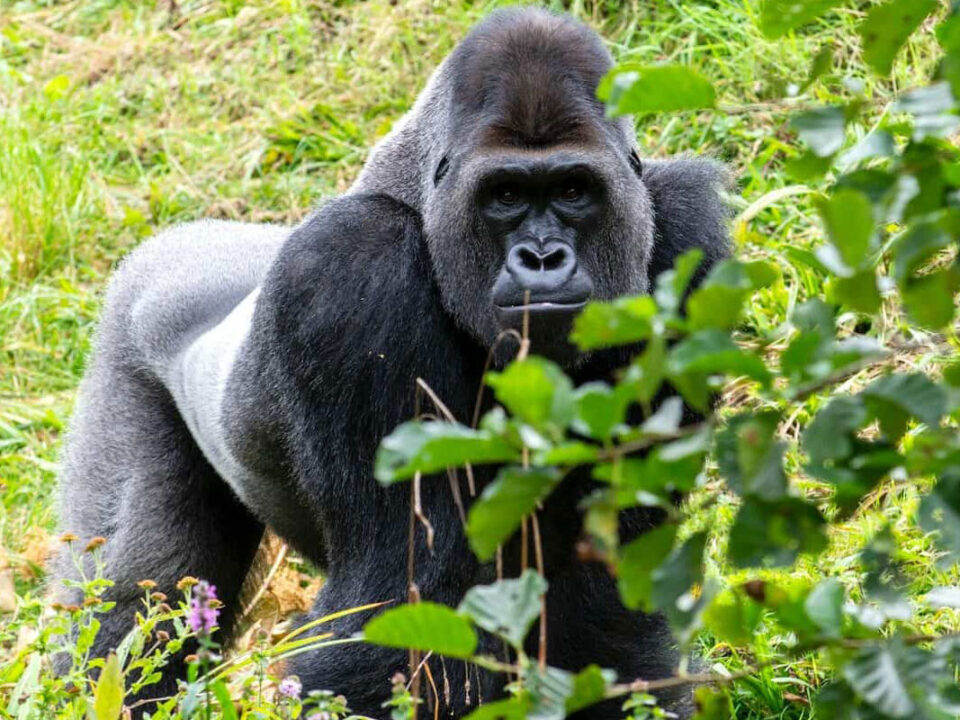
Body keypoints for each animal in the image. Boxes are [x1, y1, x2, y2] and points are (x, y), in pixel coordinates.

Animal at [53, 7, 730, 718]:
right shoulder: (352, 267)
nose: (542, 257)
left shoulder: (687, 241)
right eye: (505, 195)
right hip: (127, 336)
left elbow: (608, 591)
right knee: (133, 598)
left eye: (574, 190)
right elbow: (402, 598)